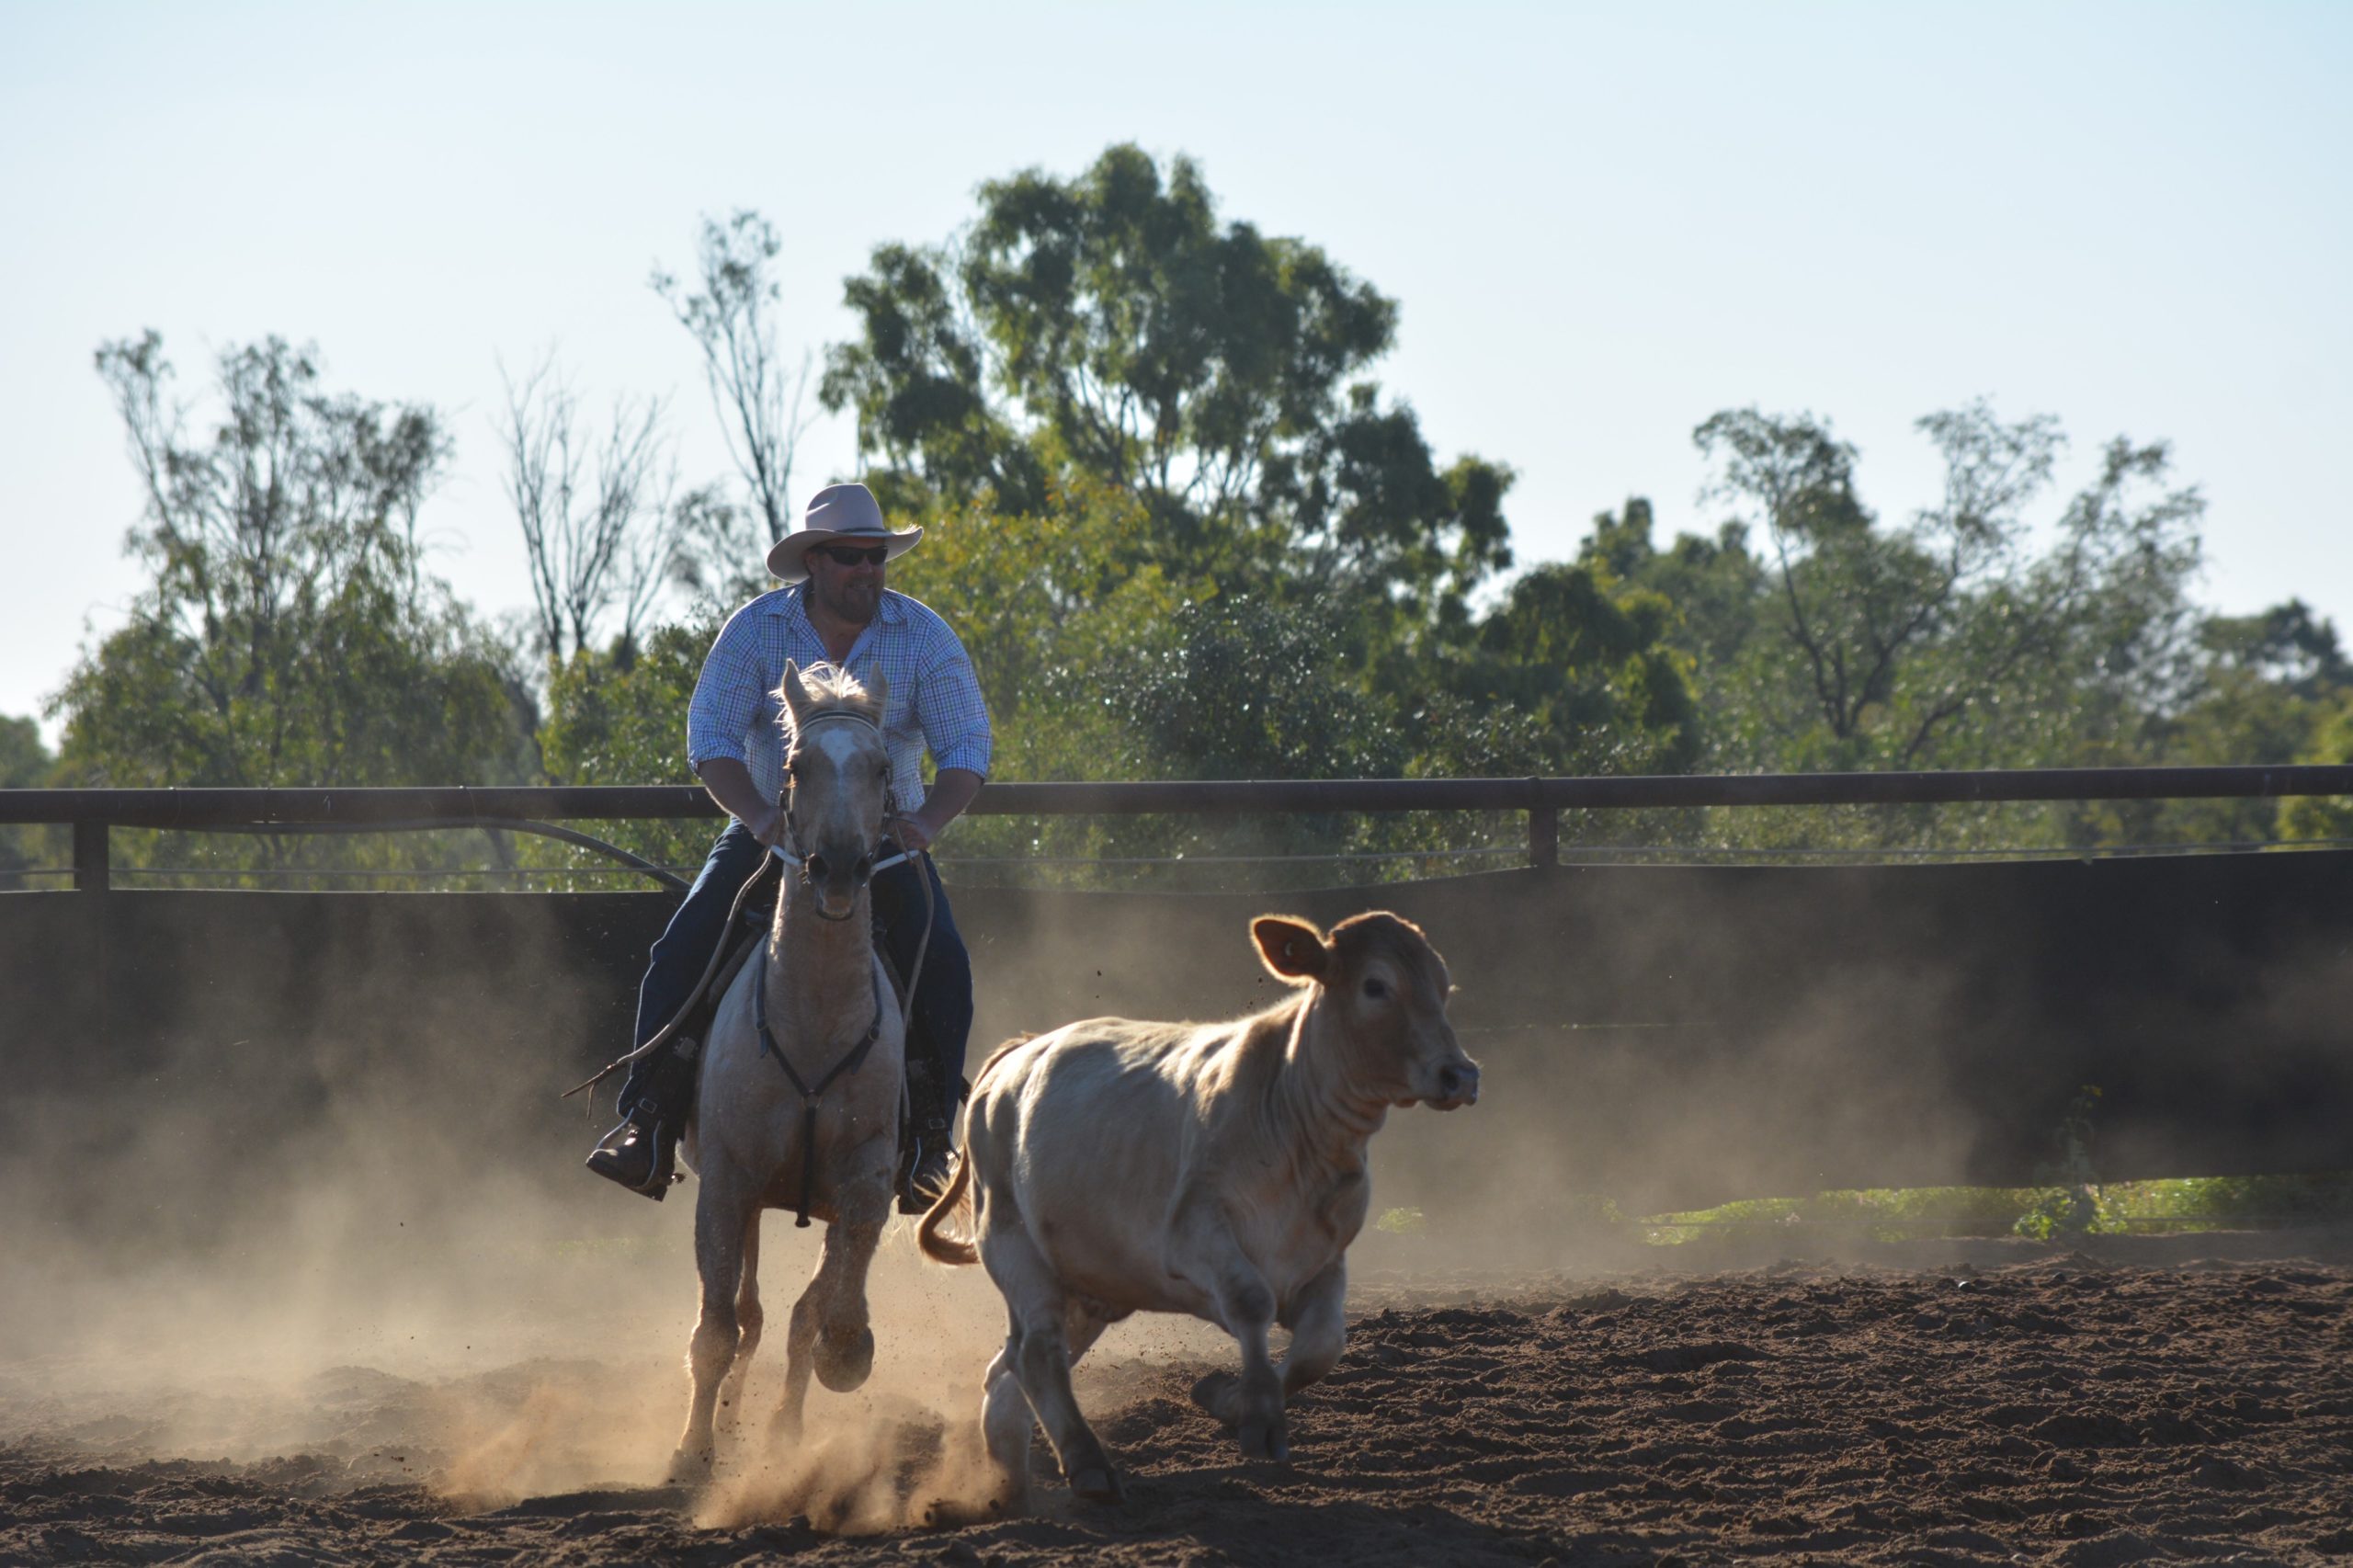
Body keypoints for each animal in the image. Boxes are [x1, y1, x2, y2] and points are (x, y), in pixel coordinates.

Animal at [673, 659, 917, 1478]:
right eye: (796, 765)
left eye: (880, 768)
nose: (838, 867)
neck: (812, 1020)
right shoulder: (725, 1184)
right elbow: (716, 1329)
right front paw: (693, 1451)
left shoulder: (864, 1181)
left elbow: (818, 1310)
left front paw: (845, 1354)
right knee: (742, 1315)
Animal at [913, 903, 1468, 1506]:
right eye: (1375, 985)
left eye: (1442, 985)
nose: (1460, 1074)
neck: (1291, 1119)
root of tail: (1013, 1058)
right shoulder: (1197, 1235)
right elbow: (1252, 1302)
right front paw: (1260, 1418)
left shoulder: (1325, 1259)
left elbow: (1323, 1344)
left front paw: (1228, 1400)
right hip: (1013, 1245)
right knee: (1037, 1353)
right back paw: (1087, 1465)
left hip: (1087, 1286)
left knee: (1009, 1366)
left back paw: (1009, 1480)